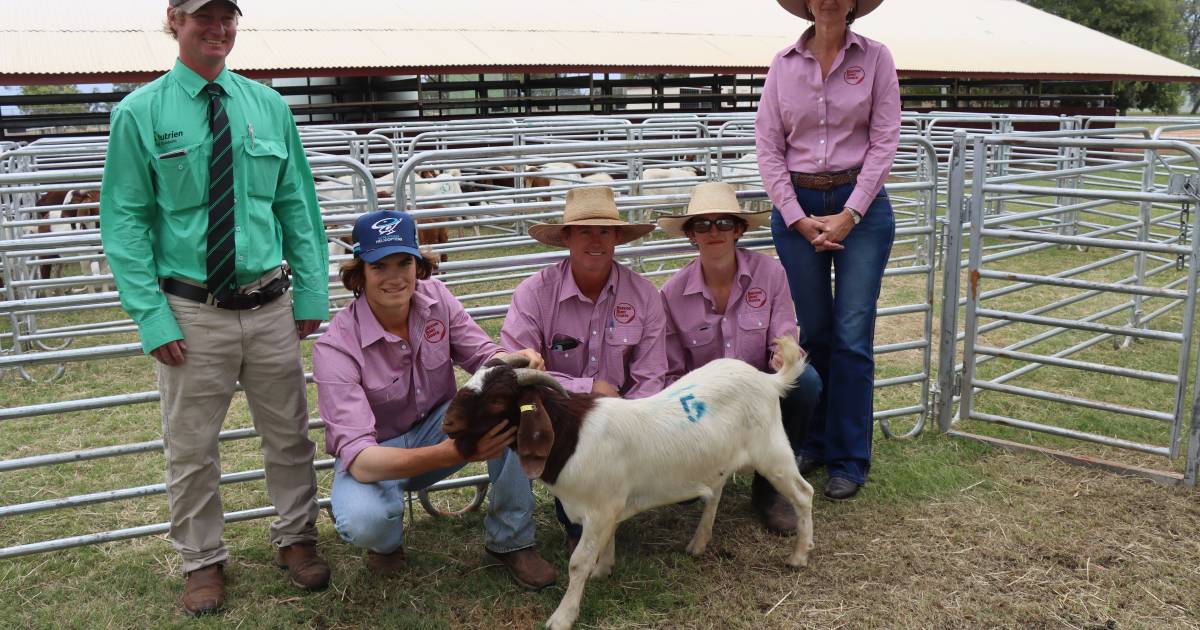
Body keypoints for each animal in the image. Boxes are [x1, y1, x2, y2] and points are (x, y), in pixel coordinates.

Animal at [444, 333, 816, 628]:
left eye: (497, 399)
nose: (448, 423)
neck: (572, 437)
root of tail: (768, 380)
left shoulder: (599, 509)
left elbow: (577, 562)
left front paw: (562, 616)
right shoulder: (607, 507)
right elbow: (606, 542)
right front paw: (603, 570)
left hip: (773, 452)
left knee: (804, 493)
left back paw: (799, 556)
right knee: (716, 491)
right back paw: (698, 544)